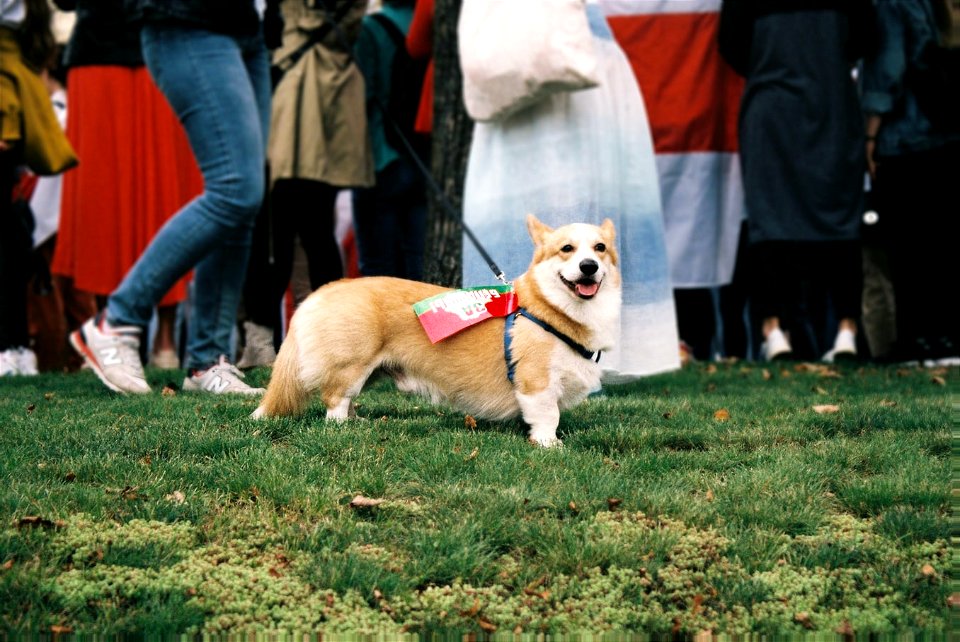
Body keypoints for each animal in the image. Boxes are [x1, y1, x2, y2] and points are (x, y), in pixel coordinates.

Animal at [249, 215, 624, 444]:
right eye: (567, 249)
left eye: (600, 248)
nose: (588, 267)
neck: (553, 309)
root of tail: (322, 291)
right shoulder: (537, 382)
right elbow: (548, 416)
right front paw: (549, 444)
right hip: (351, 366)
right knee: (335, 399)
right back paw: (343, 428)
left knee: (348, 400)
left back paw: (358, 422)